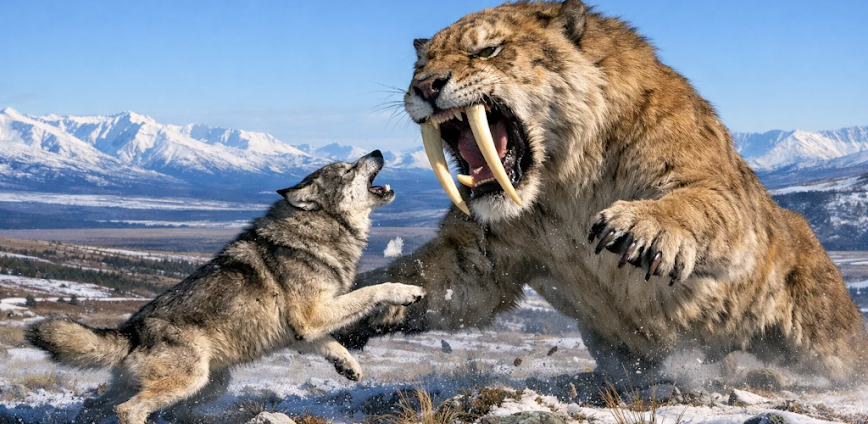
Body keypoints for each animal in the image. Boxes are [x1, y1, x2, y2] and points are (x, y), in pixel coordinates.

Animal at [26, 150, 425, 424]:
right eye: (348, 169)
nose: (378, 151)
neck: (317, 231)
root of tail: (131, 331)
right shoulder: (313, 314)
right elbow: (371, 290)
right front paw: (406, 291)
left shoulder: (303, 330)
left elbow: (331, 344)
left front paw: (349, 366)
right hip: (189, 381)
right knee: (128, 410)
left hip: (208, 385)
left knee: (95, 405)